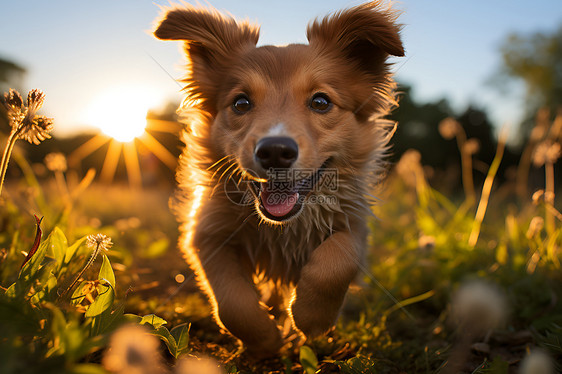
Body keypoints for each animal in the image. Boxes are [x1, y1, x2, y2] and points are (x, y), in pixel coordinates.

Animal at [153, 0, 402, 356]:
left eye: (321, 101)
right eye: (241, 102)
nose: (274, 151)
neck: (282, 228)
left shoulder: (354, 224)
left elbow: (337, 261)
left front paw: (310, 319)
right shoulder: (207, 234)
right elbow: (232, 301)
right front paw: (265, 339)